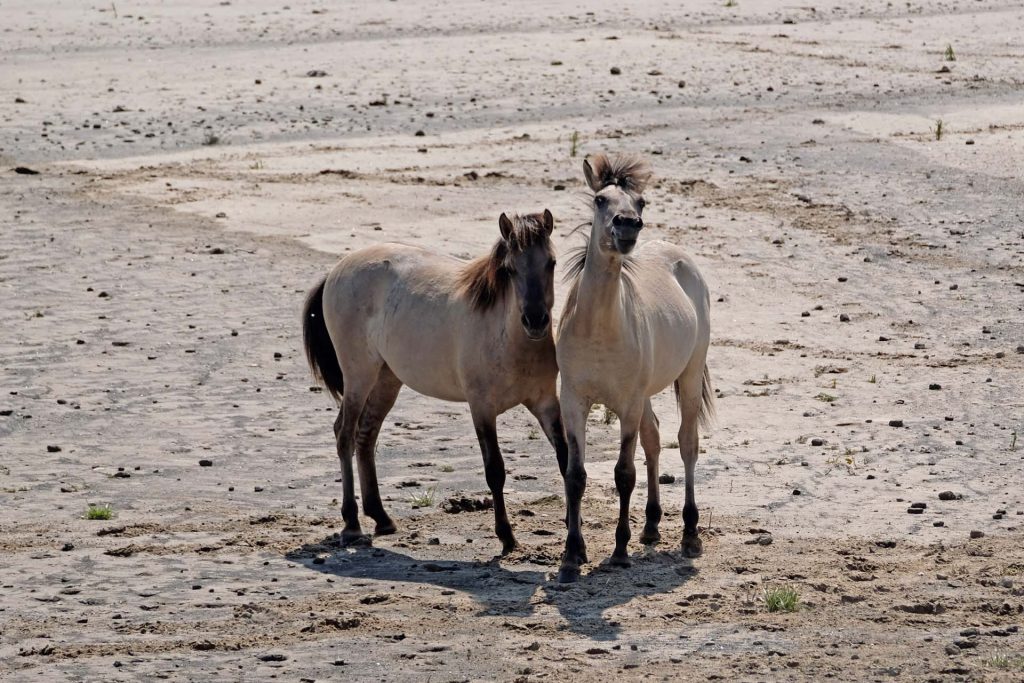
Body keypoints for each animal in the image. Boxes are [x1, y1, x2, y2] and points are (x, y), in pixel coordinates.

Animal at [303, 209, 569, 557]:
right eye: (510, 269)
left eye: (551, 262)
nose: (535, 321)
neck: (507, 338)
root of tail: (337, 270)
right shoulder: (482, 409)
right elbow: (495, 471)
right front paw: (506, 537)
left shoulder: (545, 402)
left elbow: (566, 459)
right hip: (358, 375)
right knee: (344, 434)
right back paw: (351, 524)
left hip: (386, 380)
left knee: (365, 435)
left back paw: (381, 518)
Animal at [552, 156, 712, 581]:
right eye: (600, 199)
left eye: (641, 202)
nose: (627, 226)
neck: (598, 329)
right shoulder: (573, 402)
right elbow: (575, 475)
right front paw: (571, 557)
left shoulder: (626, 405)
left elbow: (624, 473)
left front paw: (620, 552)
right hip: (646, 395)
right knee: (654, 439)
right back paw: (652, 526)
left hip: (688, 376)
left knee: (687, 444)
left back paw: (690, 534)